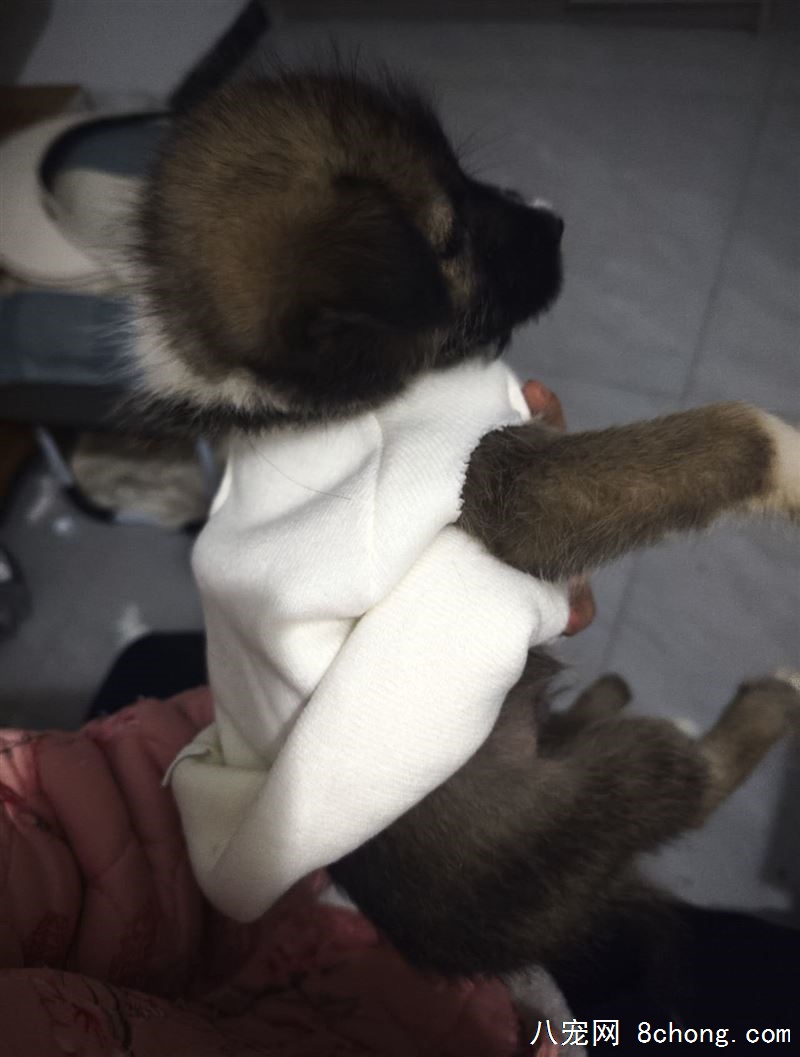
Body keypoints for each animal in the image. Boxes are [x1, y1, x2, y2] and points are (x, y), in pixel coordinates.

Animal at [132, 69, 800, 1040]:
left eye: (468, 177)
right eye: (453, 239)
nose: (556, 219)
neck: (292, 401)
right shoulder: (503, 488)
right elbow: (722, 433)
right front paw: (795, 455)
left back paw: (598, 693)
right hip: (583, 805)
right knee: (688, 777)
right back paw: (763, 700)